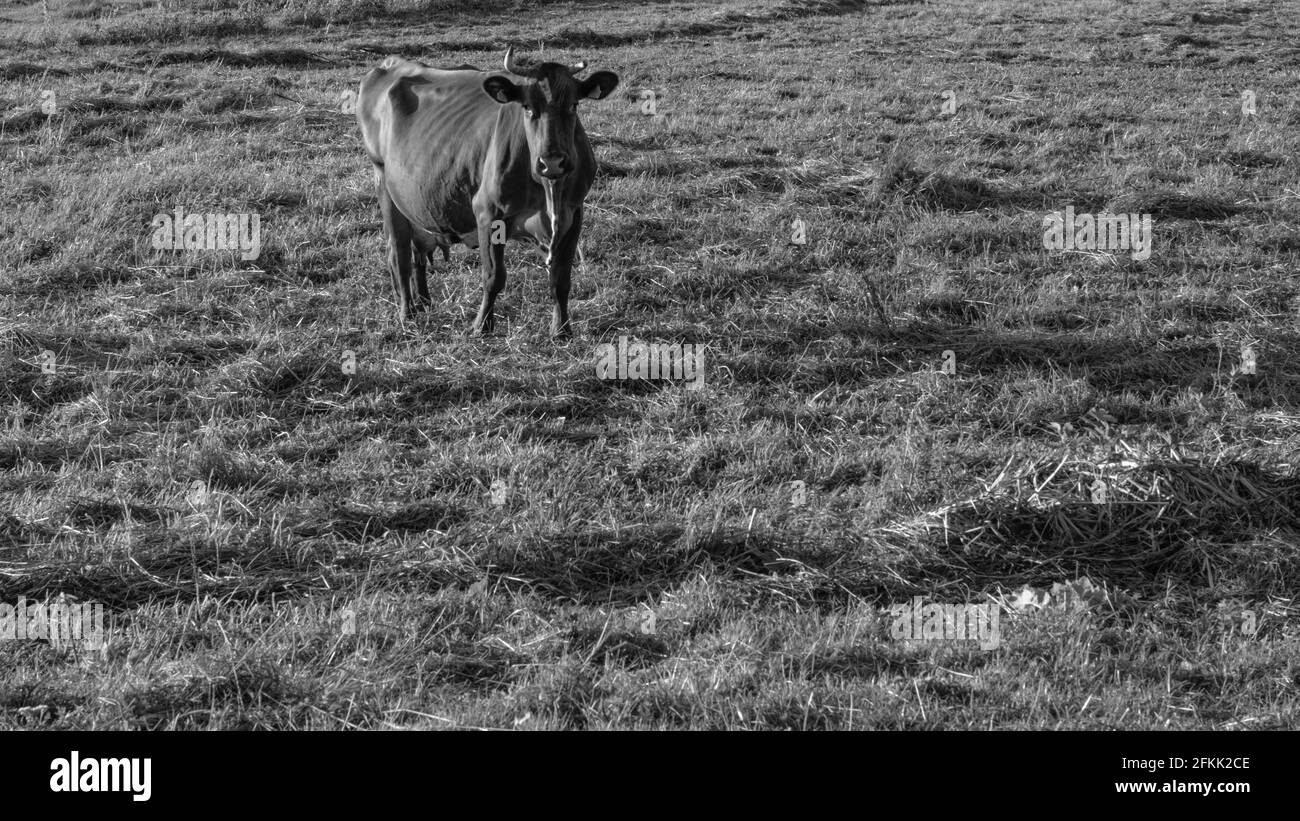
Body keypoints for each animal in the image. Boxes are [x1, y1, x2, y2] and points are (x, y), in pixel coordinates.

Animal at [356, 47, 620, 337]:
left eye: (573, 105)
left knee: (417, 253)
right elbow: (494, 276)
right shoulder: (488, 213)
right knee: (398, 253)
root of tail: (390, 64)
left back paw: (424, 302)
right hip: (383, 183)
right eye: (528, 107)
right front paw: (481, 325)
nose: (552, 162)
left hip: (414, 201)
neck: (549, 194)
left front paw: (561, 329)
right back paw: (407, 313)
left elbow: (561, 278)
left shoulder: (573, 214)